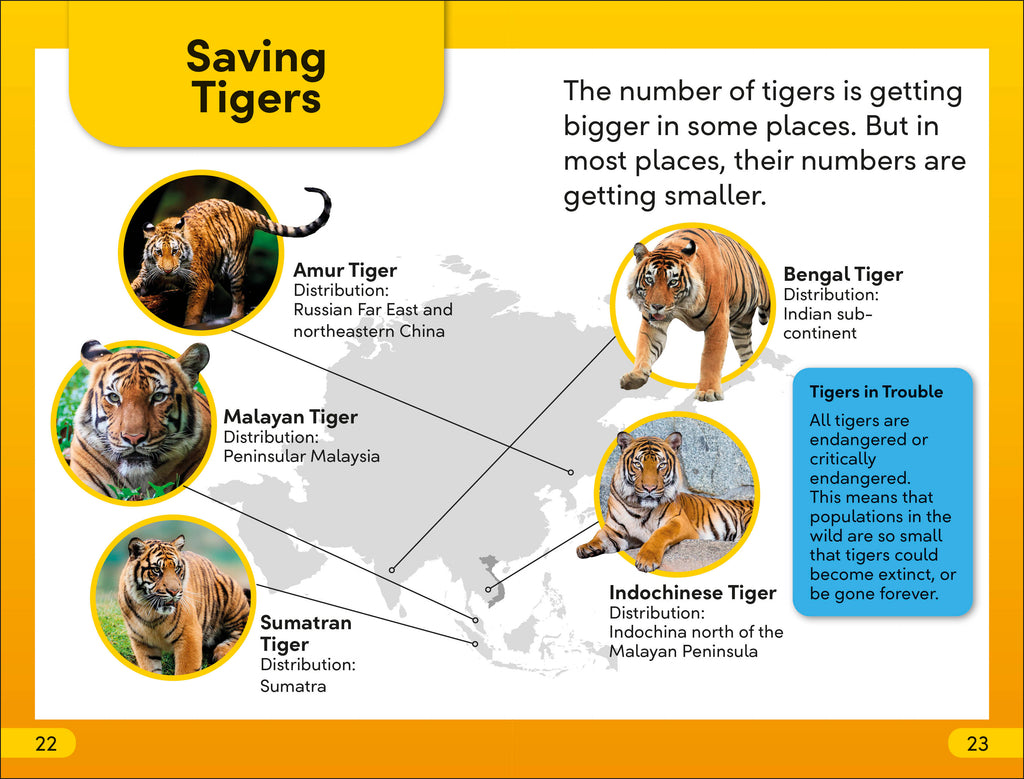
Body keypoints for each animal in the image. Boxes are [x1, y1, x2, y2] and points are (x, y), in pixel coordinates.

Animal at [117, 534, 251, 675]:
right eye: (156, 570)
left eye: (177, 568)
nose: (174, 591)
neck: (150, 612)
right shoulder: (142, 642)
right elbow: (150, 667)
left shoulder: (189, 634)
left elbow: (185, 670)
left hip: (231, 596)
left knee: (239, 631)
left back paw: (221, 651)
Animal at [130, 186, 331, 327]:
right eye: (158, 252)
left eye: (174, 251)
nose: (167, 270)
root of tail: (243, 209)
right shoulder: (148, 277)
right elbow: (135, 287)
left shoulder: (200, 283)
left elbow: (193, 313)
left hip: (235, 268)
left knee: (239, 297)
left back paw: (233, 317)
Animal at [577, 432, 753, 572]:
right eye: (638, 464)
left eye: (661, 465)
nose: (649, 488)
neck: (639, 507)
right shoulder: (615, 528)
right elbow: (600, 535)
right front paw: (586, 547)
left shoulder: (679, 522)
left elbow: (660, 533)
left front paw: (646, 559)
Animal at [620, 228, 771, 401]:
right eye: (650, 280)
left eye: (673, 282)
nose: (657, 306)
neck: (684, 305)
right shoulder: (652, 324)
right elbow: (645, 347)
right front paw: (635, 377)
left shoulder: (718, 321)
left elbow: (711, 357)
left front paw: (708, 391)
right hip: (740, 329)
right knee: (746, 351)